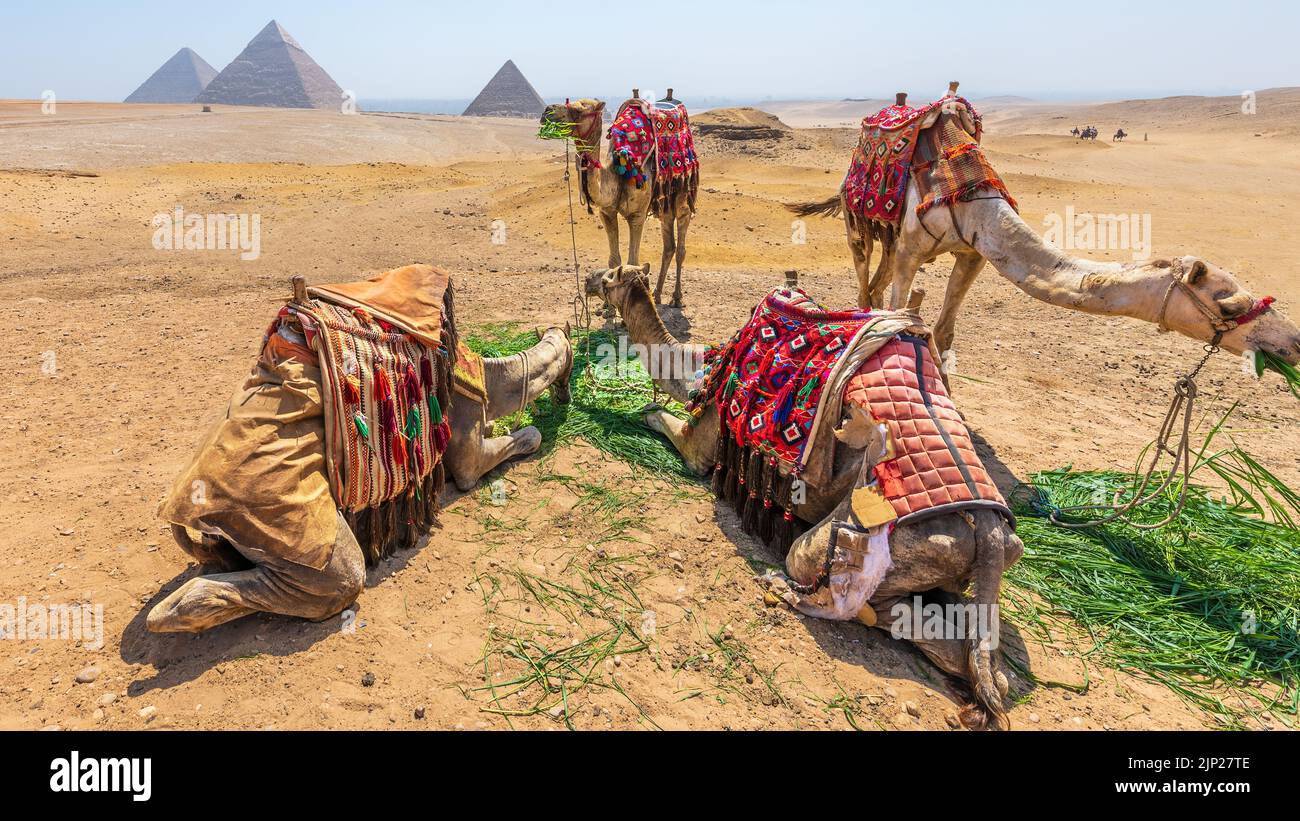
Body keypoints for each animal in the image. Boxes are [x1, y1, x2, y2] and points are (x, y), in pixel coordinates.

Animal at [144, 268, 572, 633]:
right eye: (570, 359)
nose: (566, 394)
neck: (488, 377)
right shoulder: (464, 448)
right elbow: (521, 441)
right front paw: (531, 429)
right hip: (292, 531)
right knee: (339, 580)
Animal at [540, 96, 702, 307]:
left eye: (578, 110)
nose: (547, 112)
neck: (618, 171)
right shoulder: (607, 213)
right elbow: (614, 261)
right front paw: (608, 306)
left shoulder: (637, 215)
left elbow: (633, 261)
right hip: (664, 205)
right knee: (669, 246)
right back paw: (657, 295)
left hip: (683, 195)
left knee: (681, 245)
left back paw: (676, 297)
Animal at [590, 265, 1024, 732]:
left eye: (610, 276)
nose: (591, 281)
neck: (702, 369)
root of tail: (992, 531)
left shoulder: (704, 442)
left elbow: (660, 421)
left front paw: (644, 412)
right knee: (985, 658)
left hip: (883, 540)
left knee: (844, 587)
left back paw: (784, 586)